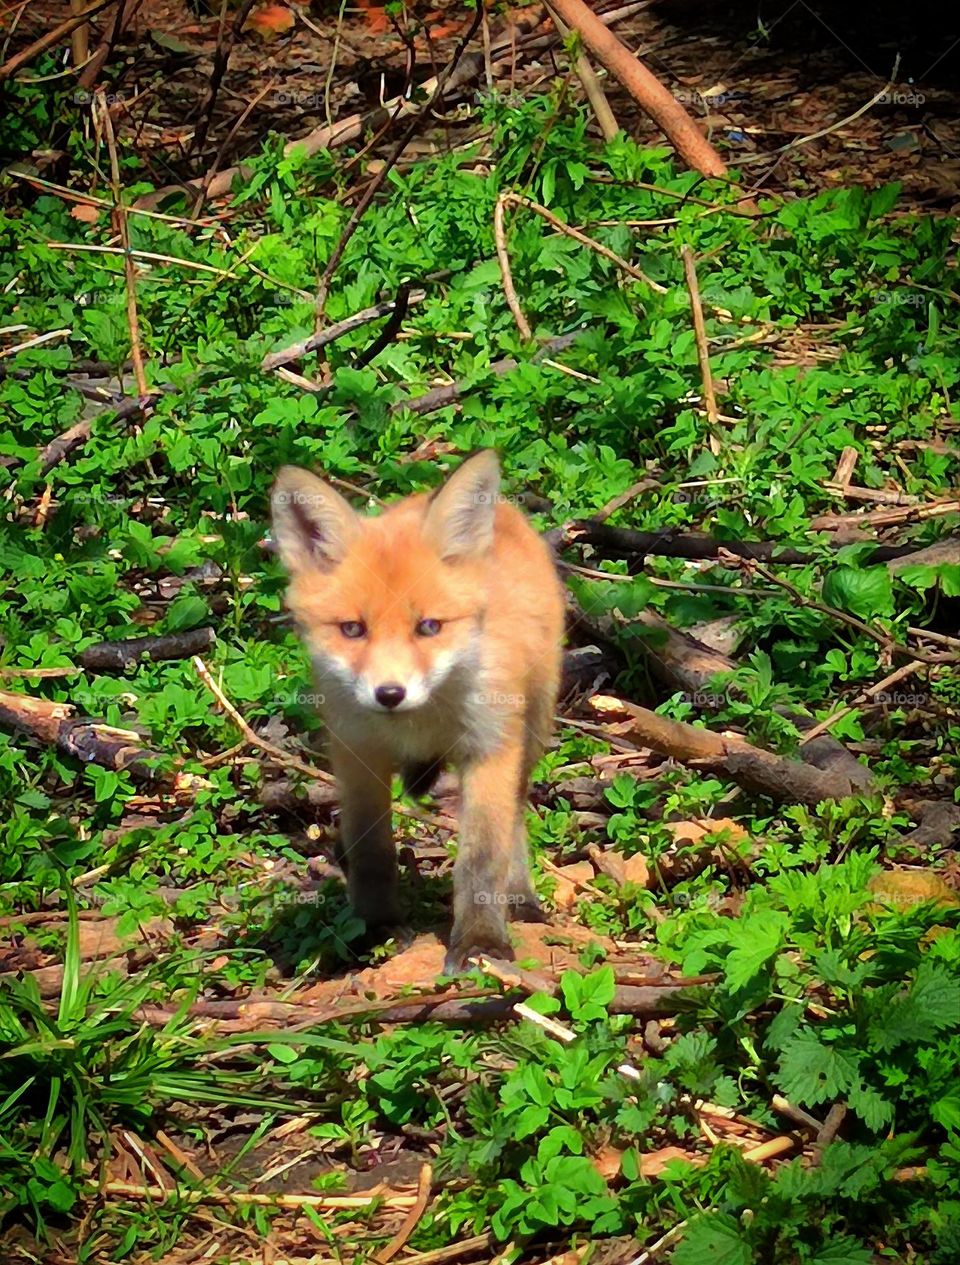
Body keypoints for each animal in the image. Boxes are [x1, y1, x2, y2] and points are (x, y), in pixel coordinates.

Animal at [270, 450, 565, 972]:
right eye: (352, 629)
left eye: (429, 627)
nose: (390, 693)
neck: (419, 722)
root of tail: (507, 512)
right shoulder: (358, 754)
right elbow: (372, 854)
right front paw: (376, 929)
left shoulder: (489, 748)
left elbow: (482, 858)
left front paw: (481, 941)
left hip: (530, 731)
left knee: (514, 817)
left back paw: (520, 897)